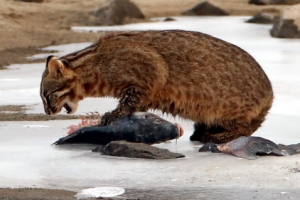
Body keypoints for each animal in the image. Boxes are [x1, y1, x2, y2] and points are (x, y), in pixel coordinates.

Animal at [40, 29, 274, 144]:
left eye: (47, 96)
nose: (47, 112)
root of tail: (270, 91)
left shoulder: (152, 72)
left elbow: (128, 102)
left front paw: (114, 113)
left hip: (228, 108)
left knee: (247, 128)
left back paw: (221, 135)